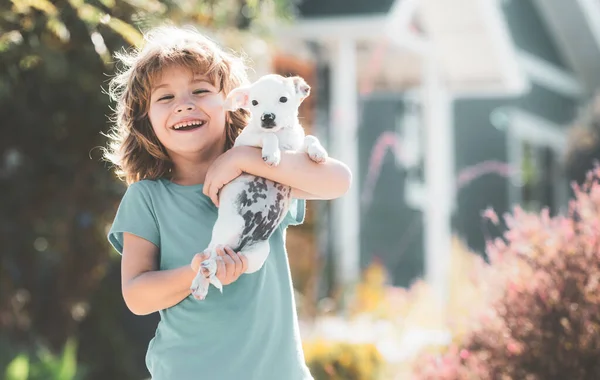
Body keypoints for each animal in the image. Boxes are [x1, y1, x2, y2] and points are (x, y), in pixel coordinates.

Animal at [191, 73, 328, 300]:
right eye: (254, 103)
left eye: (283, 99)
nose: (267, 117)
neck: (283, 136)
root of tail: (239, 245)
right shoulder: (245, 141)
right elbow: (267, 135)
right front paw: (272, 154)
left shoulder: (297, 148)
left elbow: (309, 137)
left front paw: (318, 152)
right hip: (233, 226)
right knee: (211, 253)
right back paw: (201, 280)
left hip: (257, 255)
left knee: (220, 261)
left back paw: (209, 272)